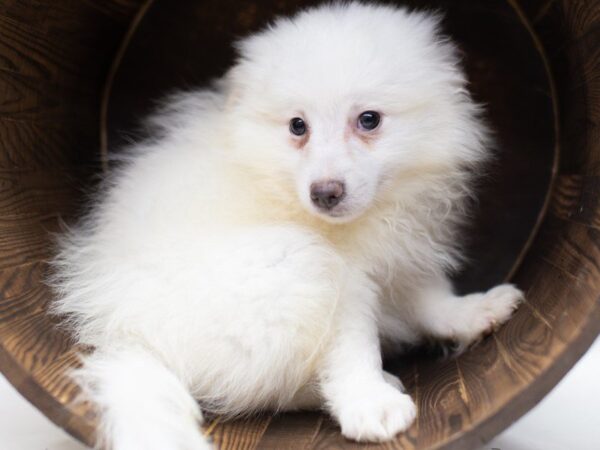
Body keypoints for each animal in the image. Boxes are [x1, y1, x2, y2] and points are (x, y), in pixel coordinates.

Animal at [49, 1, 524, 448]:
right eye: (298, 126)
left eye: (369, 119)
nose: (325, 192)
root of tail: (132, 338)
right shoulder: (344, 285)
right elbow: (354, 348)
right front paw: (370, 403)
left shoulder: (399, 251)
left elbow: (431, 301)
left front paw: (476, 311)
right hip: (289, 267)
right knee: (258, 389)